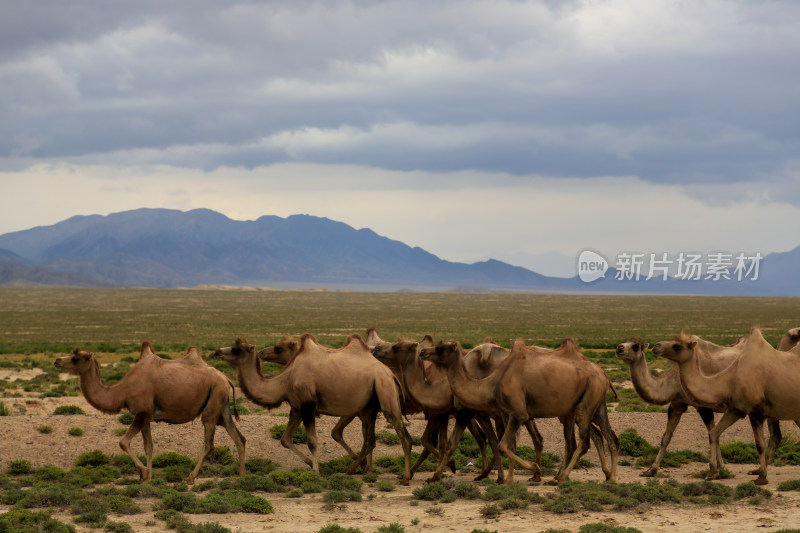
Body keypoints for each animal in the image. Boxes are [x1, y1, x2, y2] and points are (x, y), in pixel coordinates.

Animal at [54, 340, 245, 482]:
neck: (121, 391)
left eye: (76, 358)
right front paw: (148, 476)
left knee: (209, 443)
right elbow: (149, 446)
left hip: (212, 406)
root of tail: (226, 378)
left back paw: (191, 478)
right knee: (239, 438)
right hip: (222, 408)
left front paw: (144, 472)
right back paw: (241, 476)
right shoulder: (145, 416)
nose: (57, 361)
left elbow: (123, 442)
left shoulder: (142, 412)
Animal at [216, 334, 416, 484]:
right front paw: (310, 464)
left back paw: (405, 478)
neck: (284, 381)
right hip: (369, 406)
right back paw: (353, 469)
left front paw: (316, 472)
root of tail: (390, 374)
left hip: (385, 392)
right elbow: (285, 439)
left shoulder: (308, 406)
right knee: (370, 440)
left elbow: (312, 441)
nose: (217, 351)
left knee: (403, 436)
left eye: (236, 349)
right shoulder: (296, 407)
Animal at [418, 338, 620, 484]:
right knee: (606, 438)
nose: (422, 352)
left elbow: (502, 445)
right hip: (591, 405)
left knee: (584, 442)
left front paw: (533, 469)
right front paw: (510, 478)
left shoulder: (519, 413)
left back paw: (562, 477)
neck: (491, 383)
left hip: (586, 403)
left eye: (440, 348)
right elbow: (509, 445)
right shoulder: (506, 413)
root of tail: (604, 375)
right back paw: (608, 476)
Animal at [652, 326, 800, 484]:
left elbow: (760, 444)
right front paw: (712, 472)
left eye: (677, 346)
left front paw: (761, 478)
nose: (656, 346)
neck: (729, 379)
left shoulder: (756, 411)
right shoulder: (736, 409)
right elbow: (714, 432)